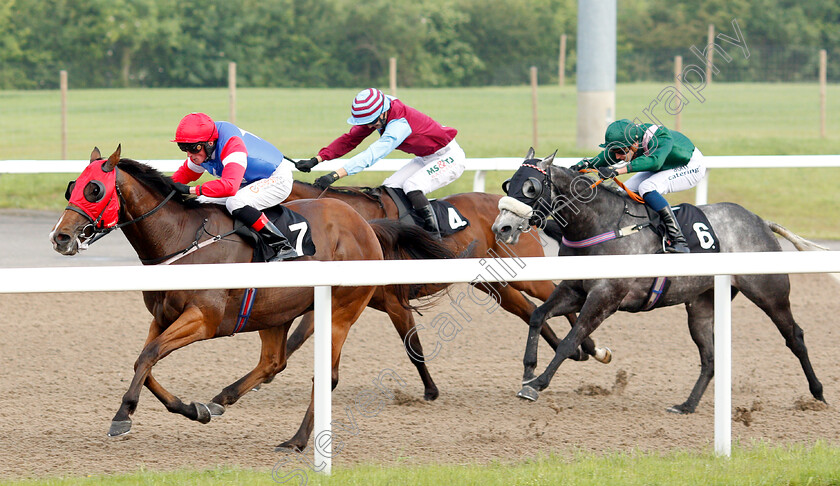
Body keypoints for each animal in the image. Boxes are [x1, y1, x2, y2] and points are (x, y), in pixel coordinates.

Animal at [49, 145, 460, 452]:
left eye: (94, 190)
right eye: (72, 187)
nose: (60, 238)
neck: (181, 236)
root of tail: (366, 225)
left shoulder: (203, 319)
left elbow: (148, 356)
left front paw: (123, 416)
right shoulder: (162, 317)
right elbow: (143, 363)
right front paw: (192, 409)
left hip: (339, 310)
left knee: (325, 376)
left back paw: (296, 441)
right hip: (276, 312)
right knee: (273, 362)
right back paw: (220, 400)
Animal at [282, 180, 612, 396]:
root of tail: (518, 213)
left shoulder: (394, 302)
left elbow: (414, 348)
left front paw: (431, 390)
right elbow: (296, 338)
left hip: (527, 274)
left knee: (555, 293)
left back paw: (591, 349)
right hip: (492, 284)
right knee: (530, 309)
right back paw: (572, 352)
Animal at [492, 148, 828, 414]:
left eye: (531, 187)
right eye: (510, 183)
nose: (501, 227)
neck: (600, 223)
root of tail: (760, 221)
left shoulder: (606, 296)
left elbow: (569, 340)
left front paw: (538, 383)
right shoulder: (575, 288)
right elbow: (538, 315)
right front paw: (528, 370)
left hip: (769, 292)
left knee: (795, 337)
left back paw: (818, 394)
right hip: (701, 304)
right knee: (709, 358)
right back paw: (686, 406)